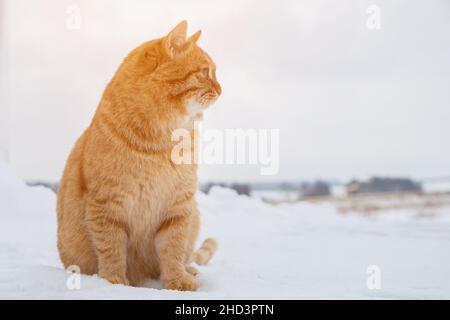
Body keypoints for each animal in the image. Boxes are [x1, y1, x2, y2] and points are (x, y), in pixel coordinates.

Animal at [57, 20, 221, 290]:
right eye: (205, 72)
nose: (220, 89)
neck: (162, 144)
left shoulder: (178, 207)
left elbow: (174, 250)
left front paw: (177, 281)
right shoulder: (107, 206)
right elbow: (111, 249)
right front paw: (115, 282)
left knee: (185, 255)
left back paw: (189, 270)